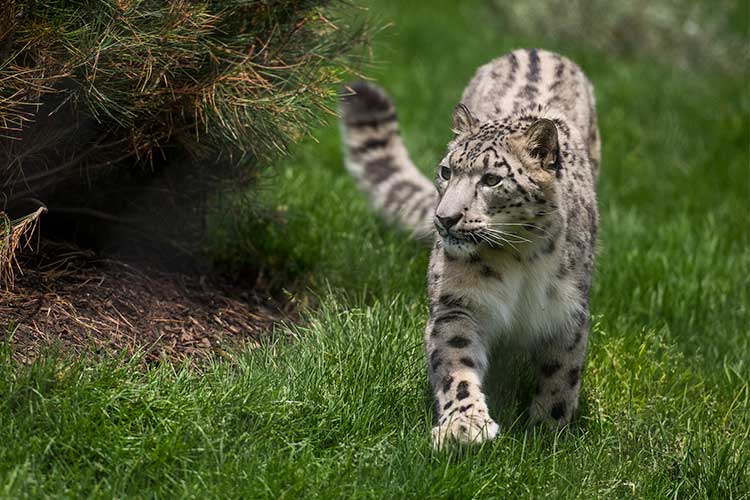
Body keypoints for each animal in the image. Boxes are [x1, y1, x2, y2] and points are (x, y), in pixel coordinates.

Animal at [339, 48, 600, 447]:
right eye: (446, 171)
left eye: (492, 179)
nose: (444, 218)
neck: (520, 258)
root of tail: (537, 50)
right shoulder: (457, 302)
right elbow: (456, 364)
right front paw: (464, 426)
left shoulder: (566, 312)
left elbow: (562, 374)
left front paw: (547, 434)